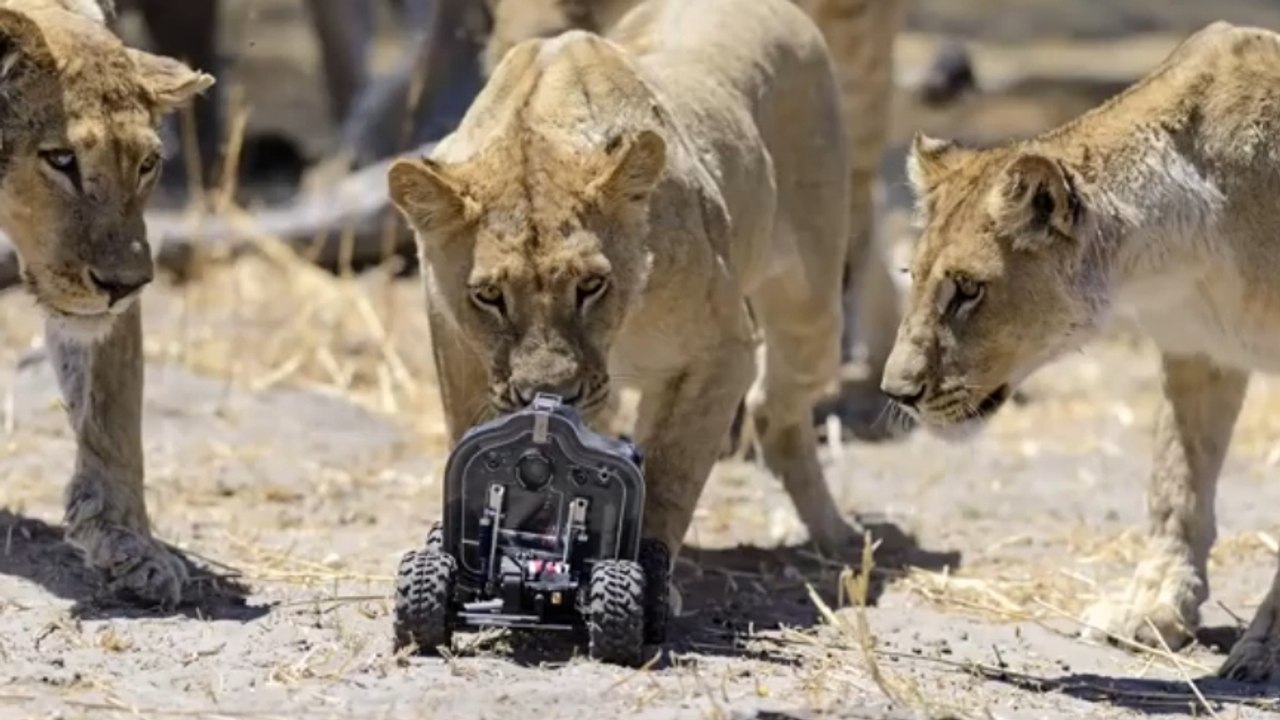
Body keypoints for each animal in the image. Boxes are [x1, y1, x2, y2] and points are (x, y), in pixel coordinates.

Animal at [388, 0, 892, 579]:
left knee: (776, 407)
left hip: (813, 307)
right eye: (489, 296)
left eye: (591, 285)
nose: (551, 392)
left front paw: (642, 573)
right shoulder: (456, 347)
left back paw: (834, 535)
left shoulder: (721, 351)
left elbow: (669, 475)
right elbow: (478, 448)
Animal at [880, 21, 1280, 683]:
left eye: (968, 289)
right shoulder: (1197, 347)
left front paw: (1266, 647)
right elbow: (1175, 482)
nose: (897, 392)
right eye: (912, 277)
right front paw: (1151, 607)